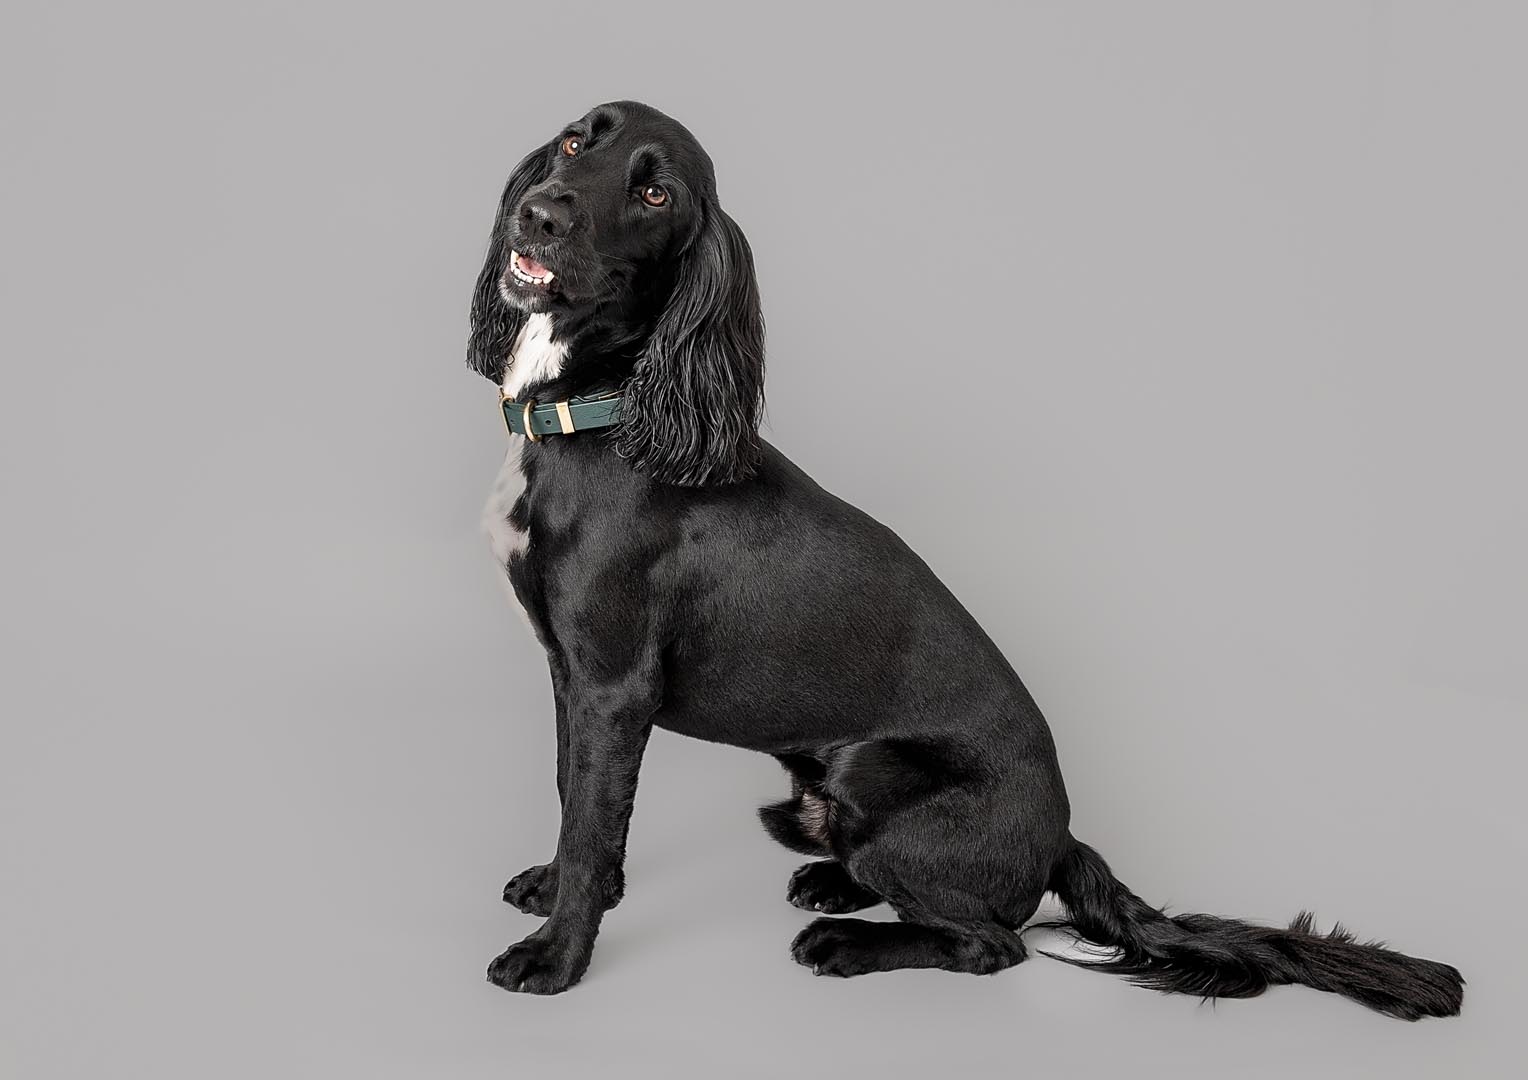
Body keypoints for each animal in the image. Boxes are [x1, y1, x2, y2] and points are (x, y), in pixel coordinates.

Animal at [467, 101, 1466, 1020]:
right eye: (575, 141)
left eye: (655, 194)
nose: (541, 214)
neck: (602, 412)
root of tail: (1062, 839)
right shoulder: (571, 676)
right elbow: (574, 798)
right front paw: (556, 891)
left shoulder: (613, 685)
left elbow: (593, 824)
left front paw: (555, 956)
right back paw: (831, 885)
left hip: (882, 785)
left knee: (994, 942)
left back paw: (844, 941)